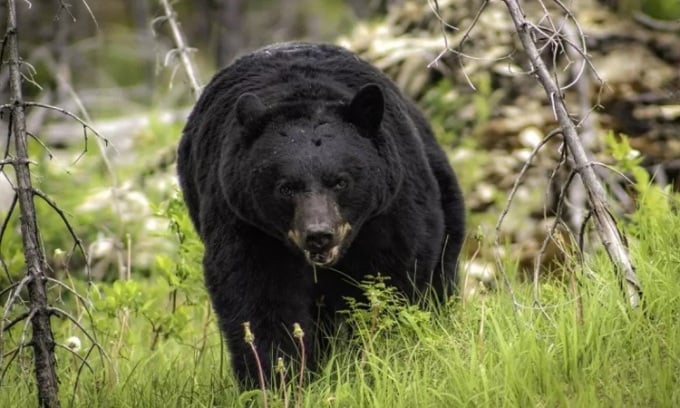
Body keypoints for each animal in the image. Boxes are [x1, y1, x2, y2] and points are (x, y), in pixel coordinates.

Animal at [175, 43, 464, 388]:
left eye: (340, 181)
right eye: (286, 187)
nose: (319, 235)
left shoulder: (390, 210)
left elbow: (393, 277)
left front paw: (380, 358)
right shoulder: (244, 221)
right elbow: (258, 296)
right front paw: (278, 378)